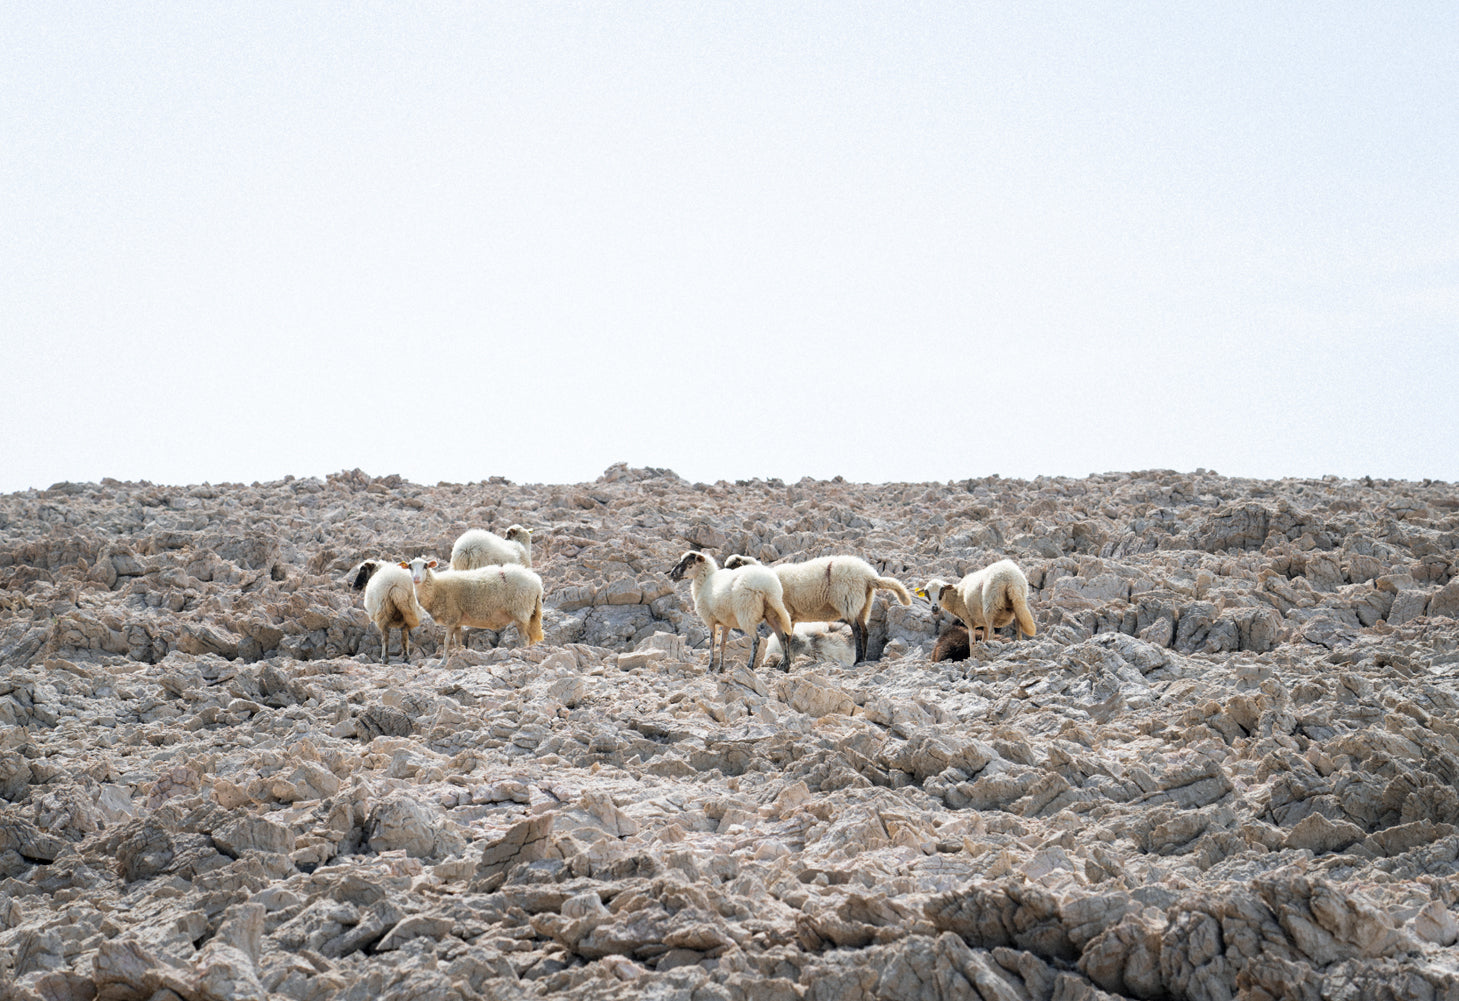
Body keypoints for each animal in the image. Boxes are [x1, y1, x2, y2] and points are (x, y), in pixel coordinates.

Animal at [405, 557, 544, 663]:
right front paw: (458, 655)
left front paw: (443, 662)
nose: (416, 579)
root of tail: (537, 582)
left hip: (521, 611)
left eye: (425, 566)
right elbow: (457, 641)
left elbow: (446, 641)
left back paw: (521, 652)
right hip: (530, 613)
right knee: (530, 637)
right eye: (410, 567)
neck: (435, 588)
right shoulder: (457, 620)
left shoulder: (451, 617)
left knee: (524, 638)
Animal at [667, 550, 795, 673]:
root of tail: (768, 587)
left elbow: (712, 644)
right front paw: (721, 669)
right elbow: (722, 644)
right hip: (772, 614)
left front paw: (710, 668)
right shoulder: (726, 623)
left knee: (756, 640)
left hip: (746, 615)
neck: (704, 582)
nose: (672, 574)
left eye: (689, 563)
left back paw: (750, 666)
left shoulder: (710, 620)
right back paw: (785, 667)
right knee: (783, 637)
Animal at [723, 554, 912, 664]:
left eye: (733, 567)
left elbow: (786, 638)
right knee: (865, 631)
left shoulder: (785, 614)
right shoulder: (791, 616)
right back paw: (864, 658)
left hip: (848, 600)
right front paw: (785, 662)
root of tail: (869, 575)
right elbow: (788, 637)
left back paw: (858, 659)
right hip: (863, 604)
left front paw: (785, 663)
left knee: (857, 631)